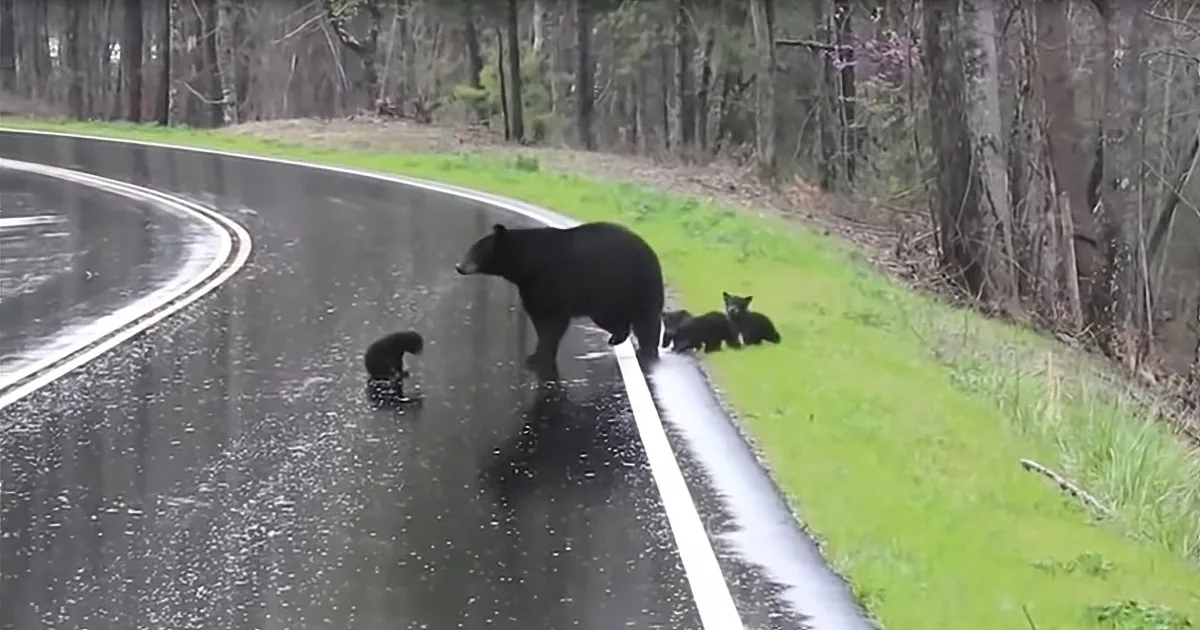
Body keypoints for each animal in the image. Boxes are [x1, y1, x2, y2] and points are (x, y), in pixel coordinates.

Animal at [455, 221, 665, 379]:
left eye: (477, 250)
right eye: (472, 248)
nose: (459, 266)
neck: (526, 264)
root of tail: (653, 255)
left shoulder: (551, 281)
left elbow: (553, 322)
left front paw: (537, 357)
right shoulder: (531, 289)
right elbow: (540, 318)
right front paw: (538, 355)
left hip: (627, 286)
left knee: (644, 322)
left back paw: (646, 351)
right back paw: (619, 338)